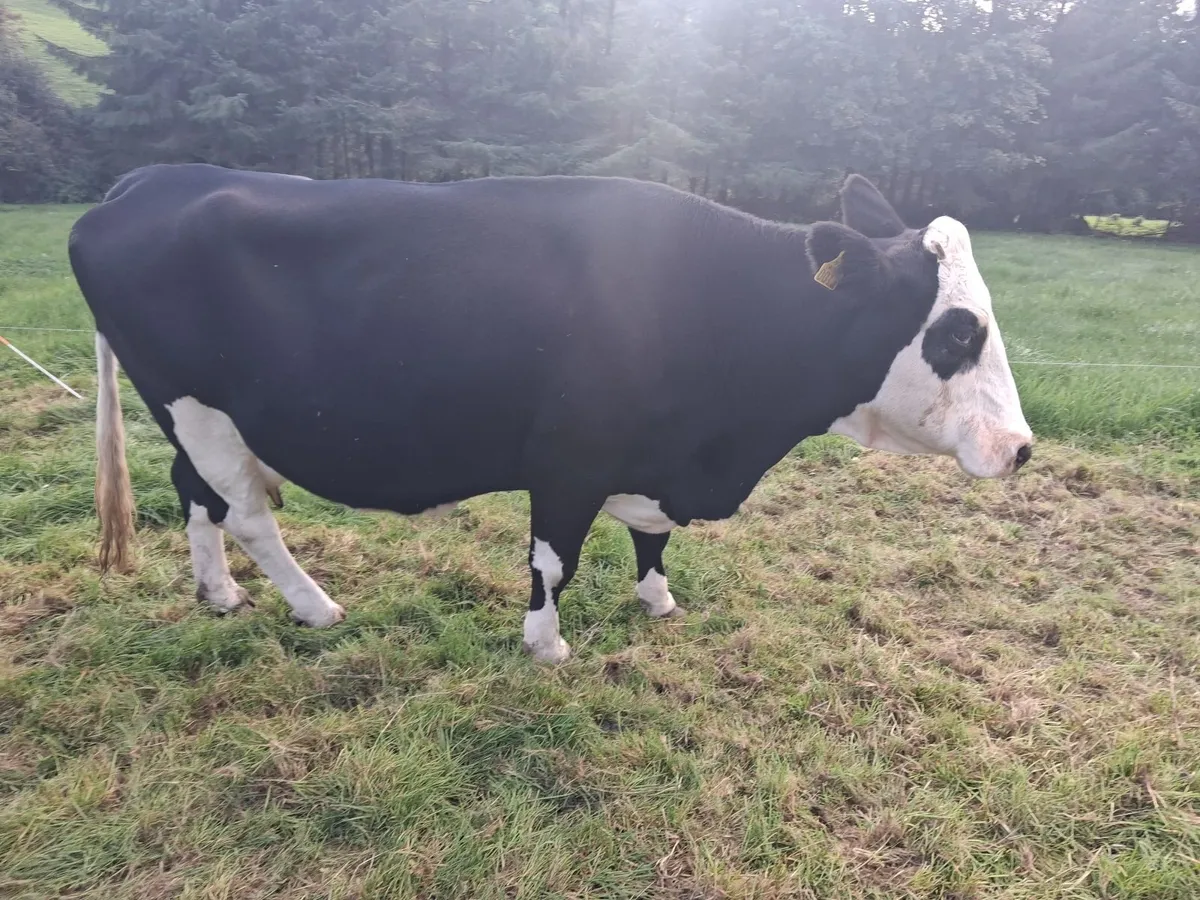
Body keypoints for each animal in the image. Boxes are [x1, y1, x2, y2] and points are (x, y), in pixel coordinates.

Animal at [68, 164, 1032, 664]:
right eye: (957, 331)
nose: (1021, 448)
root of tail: (145, 181)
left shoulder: (650, 457)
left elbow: (650, 538)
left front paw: (658, 600)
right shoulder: (570, 455)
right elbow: (554, 557)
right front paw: (545, 644)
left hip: (201, 418)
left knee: (196, 494)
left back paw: (221, 594)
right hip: (196, 405)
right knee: (246, 512)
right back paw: (314, 606)